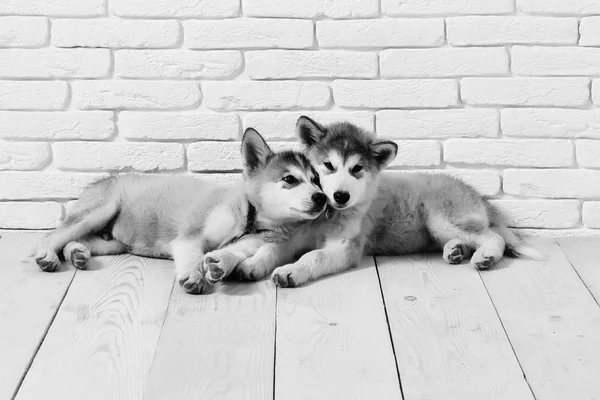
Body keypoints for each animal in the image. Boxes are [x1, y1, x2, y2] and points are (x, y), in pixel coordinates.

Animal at [35, 129, 326, 294]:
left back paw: (77, 254)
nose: (322, 197)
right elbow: (194, 255)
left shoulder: (250, 244)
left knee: (76, 241)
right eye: (289, 179)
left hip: (112, 243)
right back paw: (47, 255)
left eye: (316, 180)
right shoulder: (190, 236)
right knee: (54, 235)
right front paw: (194, 274)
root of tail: (101, 181)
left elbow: (232, 253)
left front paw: (220, 263)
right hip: (99, 211)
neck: (250, 218)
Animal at [243, 115, 540, 288]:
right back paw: (455, 251)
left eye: (357, 169)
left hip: (442, 219)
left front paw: (292, 270)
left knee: (493, 237)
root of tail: (476, 194)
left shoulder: (346, 248)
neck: (325, 219)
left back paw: (485, 256)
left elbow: (314, 256)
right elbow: (269, 248)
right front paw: (252, 264)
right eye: (327, 165)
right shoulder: (292, 237)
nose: (340, 196)